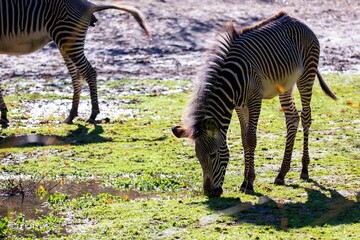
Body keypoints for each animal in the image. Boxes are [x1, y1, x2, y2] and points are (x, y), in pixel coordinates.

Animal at [0, 0, 150, 126]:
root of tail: (89, 4)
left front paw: (3, 116)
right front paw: (3, 115)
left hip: (66, 36)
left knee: (89, 72)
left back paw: (93, 115)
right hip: (67, 39)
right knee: (77, 76)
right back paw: (72, 115)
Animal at [172, 10, 338, 197]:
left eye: (213, 155)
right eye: (198, 158)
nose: (209, 193)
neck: (232, 82)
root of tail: (299, 20)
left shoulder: (254, 100)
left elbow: (251, 139)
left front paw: (250, 183)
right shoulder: (239, 105)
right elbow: (244, 139)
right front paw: (244, 182)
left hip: (306, 77)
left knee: (306, 117)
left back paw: (304, 169)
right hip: (285, 85)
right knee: (292, 118)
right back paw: (282, 174)